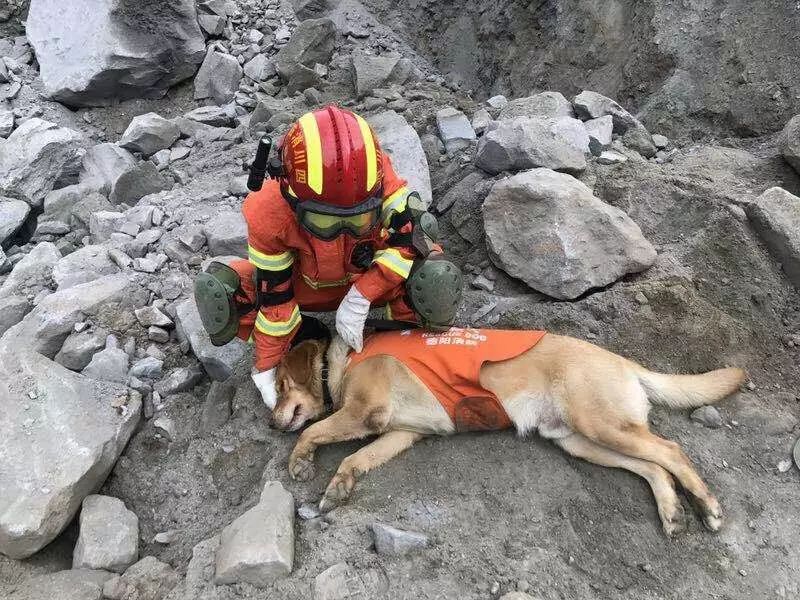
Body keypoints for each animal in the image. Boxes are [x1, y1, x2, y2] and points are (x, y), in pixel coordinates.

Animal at [272, 328, 748, 536]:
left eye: (278, 385)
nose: (272, 421)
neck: (341, 363)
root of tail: (623, 361)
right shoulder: (400, 434)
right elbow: (356, 458)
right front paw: (338, 486)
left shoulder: (365, 413)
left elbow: (313, 432)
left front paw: (300, 461)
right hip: (582, 441)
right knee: (654, 467)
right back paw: (672, 512)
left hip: (599, 424)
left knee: (672, 451)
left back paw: (707, 506)